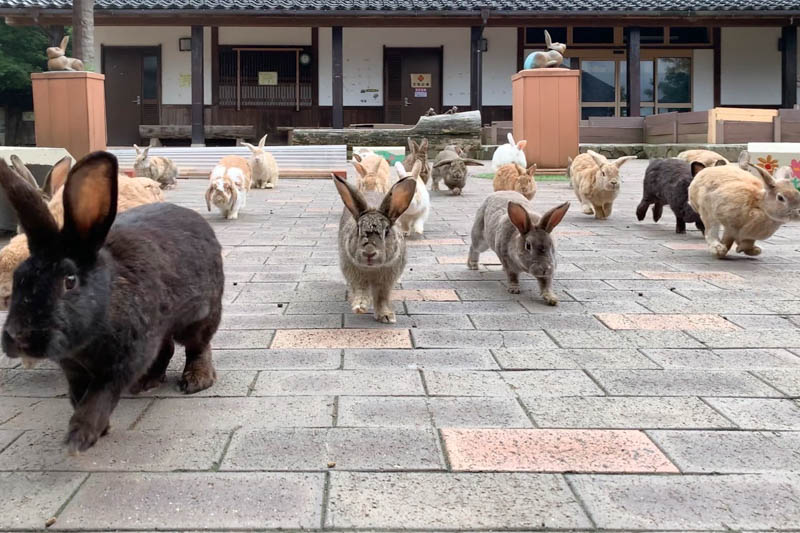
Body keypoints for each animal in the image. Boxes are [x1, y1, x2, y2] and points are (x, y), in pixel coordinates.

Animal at [0, 151, 223, 454]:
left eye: (69, 281)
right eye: (19, 276)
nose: (17, 337)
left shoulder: (122, 362)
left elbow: (99, 397)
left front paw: (79, 437)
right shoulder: (73, 369)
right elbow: (78, 396)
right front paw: (95, 430)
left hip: (201, 315)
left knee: (197, 346)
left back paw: (195, 380)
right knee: (165, 349)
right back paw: (146, 382)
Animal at [334, 174, 416, 320]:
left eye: (387, 231)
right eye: (358, 229)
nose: (369, 253)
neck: (372, 268)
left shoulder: (386, 282)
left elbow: (381, 297)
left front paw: (386, 316)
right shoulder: (355, 275)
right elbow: (361, 290)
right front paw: (360, 306)